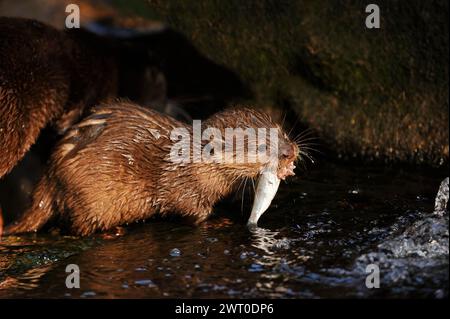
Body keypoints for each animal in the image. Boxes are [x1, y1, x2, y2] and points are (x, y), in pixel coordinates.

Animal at [3, 103, 300, 238]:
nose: (290, 151)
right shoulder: (181, 187)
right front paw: (219, 221)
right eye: (262, 145)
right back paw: (112, 231)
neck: (195, 164)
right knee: (76, 227)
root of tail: (50, 174)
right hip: (87, 195)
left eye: (282, 131)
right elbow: (190, 210)